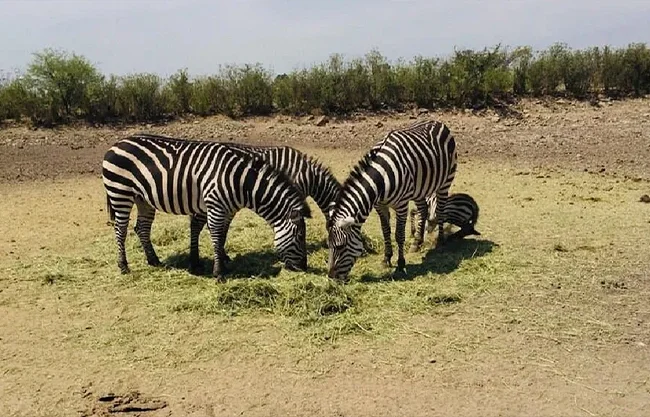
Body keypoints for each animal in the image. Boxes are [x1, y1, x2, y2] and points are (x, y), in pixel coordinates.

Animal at [101, 133, 311, 280]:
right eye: (300, 236)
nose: (304, 267)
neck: (239, 181)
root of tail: (116, 144)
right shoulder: (216, 205)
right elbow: (217, 236)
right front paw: (218, 273)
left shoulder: (223, 208)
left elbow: (220, 234)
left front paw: (220, 264)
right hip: (120, 193)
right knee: (120, 229)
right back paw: (123, 266)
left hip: (142, 198)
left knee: (142, 228)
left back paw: (154, 260)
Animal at [327, 120, 458, 281]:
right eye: (328, 245)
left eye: (340, 246)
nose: (331, 276)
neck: (380, 180)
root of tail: (437, 122)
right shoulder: (380, 205)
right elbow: (385, 231)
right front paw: (386, 258)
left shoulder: (401, 205)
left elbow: (399, 235)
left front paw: (401, 264)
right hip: (419, 189)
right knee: (423, 209)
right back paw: (417, 242)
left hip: (446, 181)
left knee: (440, 210)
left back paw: (440, 241)